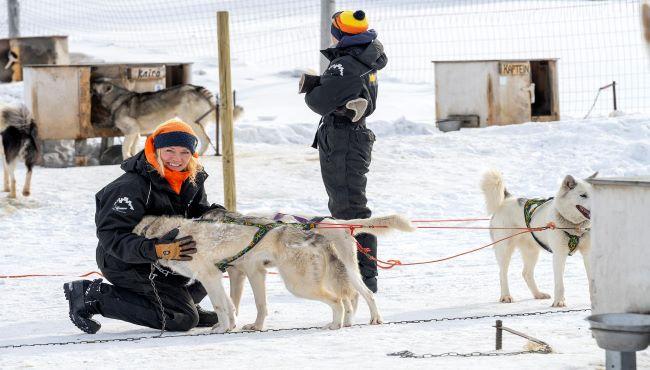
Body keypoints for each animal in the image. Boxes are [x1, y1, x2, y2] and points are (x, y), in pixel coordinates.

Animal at [92, 79, 240, 160]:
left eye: (98, 83)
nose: (93, 80)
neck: (116, 99)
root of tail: (197, 88)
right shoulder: (136, 132)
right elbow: (133, 147)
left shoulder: (131, 130)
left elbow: (124, 147)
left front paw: (125, 158)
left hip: (192, 122)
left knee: (206, 140)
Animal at [134, 210, 412, 334]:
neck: (175, 235)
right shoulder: (235, 274)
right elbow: (233, 305)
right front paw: (233, 325)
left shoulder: (211, 276)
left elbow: (222, 305)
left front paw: (222, 328)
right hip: (341, 273)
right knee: (358, 295)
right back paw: (359, 320)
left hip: (299, 284)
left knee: (340, 300)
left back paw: (337, 323)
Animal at [478, 171, 596, 306]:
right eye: (583, 195)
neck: (575, 227)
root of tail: (507, 198)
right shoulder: (559, 255)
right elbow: (559, 283)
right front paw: (559, 302)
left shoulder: (588, 254)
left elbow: (592, 280)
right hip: (505, 250)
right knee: (502, 273)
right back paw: (506, 296)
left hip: (532, 252)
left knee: (526, 273)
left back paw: (538, 294)